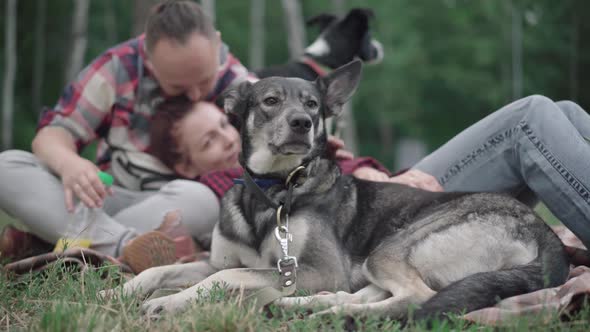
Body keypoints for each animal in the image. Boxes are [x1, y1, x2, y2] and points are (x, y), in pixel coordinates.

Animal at [104, 60, 572, 322]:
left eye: (312, 105)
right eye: (270, 101)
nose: (302, 123)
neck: (273, 191)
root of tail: (546, 233)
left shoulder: (315, 269)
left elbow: (225, 278)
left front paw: (168, 305)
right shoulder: (220, 259)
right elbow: (162, 270)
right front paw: (115, 292)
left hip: (392, 247)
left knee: (415, 299)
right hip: (376, 261)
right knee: (367, 295)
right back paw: (308, 308)